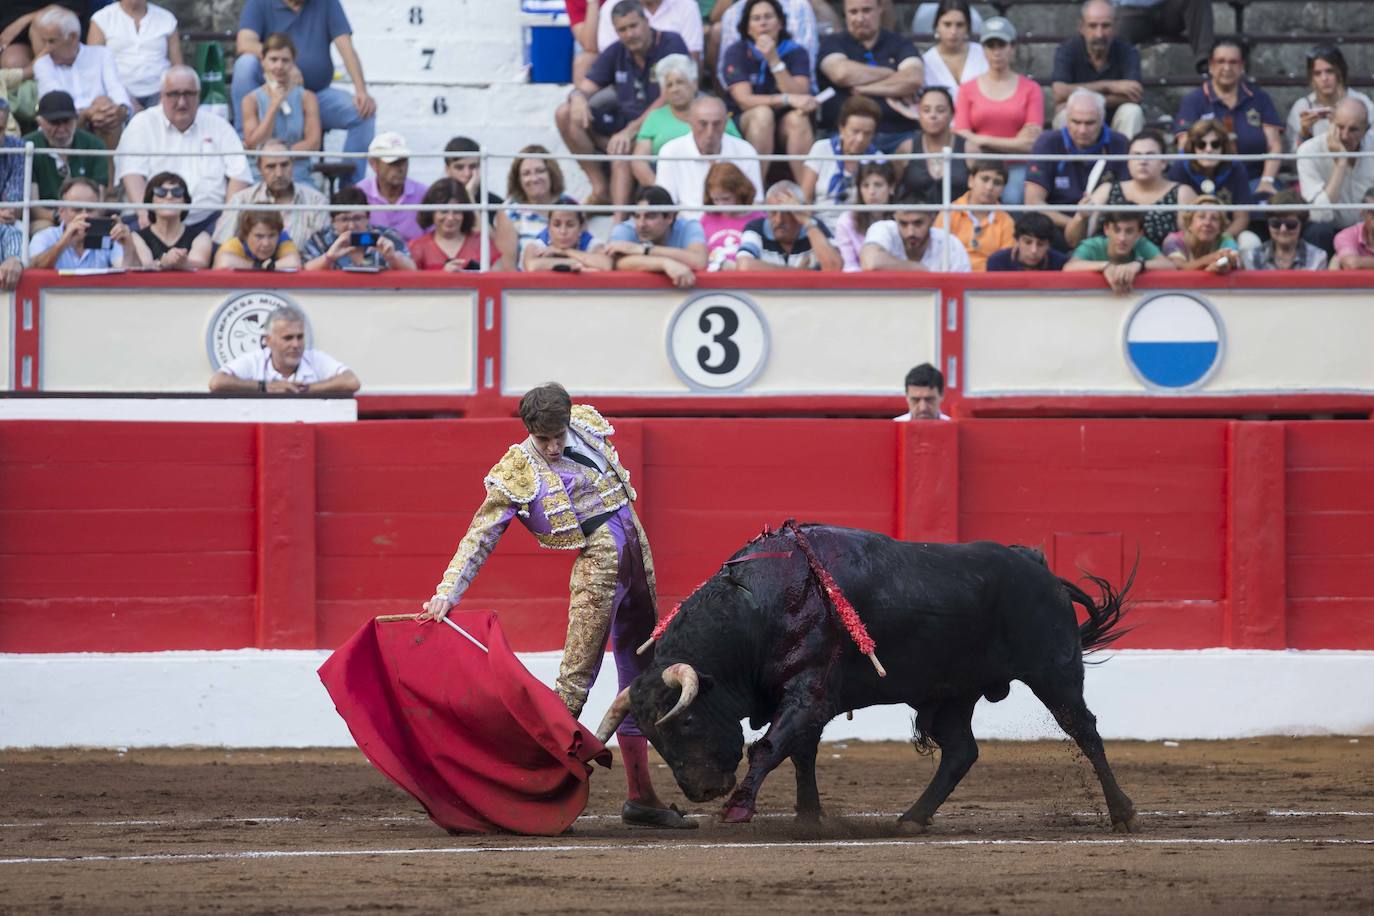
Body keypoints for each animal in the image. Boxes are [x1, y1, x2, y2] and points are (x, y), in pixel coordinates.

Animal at [596, 521, 1132, 829]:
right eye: (652, 736)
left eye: (685, 720)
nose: (701, 791)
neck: (758, 606)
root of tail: (1035, 563)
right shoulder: (808, 701)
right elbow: (801, 754)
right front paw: (810, 818)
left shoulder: (809, 692)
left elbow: (769, 747)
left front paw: (739, 809)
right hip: (952, 694)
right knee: (960, 751)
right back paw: (912, 819)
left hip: (1054, 671)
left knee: (1084, 730)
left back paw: (1122, 813)